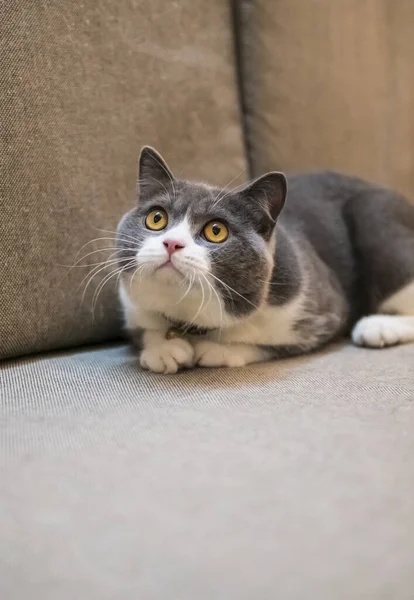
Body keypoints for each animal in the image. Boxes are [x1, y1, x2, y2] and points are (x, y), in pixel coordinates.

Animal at [115, 146, 414, 372]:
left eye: (216, 231)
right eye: (156, 218)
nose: (171, 243)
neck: (191, 319)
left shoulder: (325, 311)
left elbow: (271, 344)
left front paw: (218, 350)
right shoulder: (131, 308)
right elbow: (145, 328)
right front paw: (164, 348)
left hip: (376, 219)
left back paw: (378, 326)